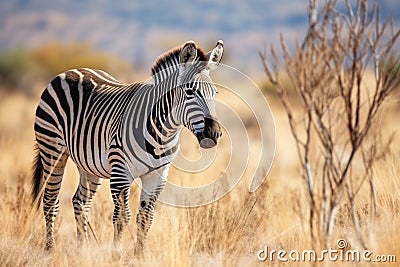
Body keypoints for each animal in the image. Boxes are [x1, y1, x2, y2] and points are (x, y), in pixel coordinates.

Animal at [31, 39, 223, 253]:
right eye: (189, 91)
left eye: (214, 93)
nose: (213, 133)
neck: (162, 132)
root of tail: (72, 70)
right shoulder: (121, 172)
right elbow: (122, 217)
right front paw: (117, 253)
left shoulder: (157, 175)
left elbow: (146, 217)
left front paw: (141, 253)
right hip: (52, 149)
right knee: (51, 200)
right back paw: (50, 249)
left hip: (88, 164)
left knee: (80, 201)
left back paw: (84, 249)